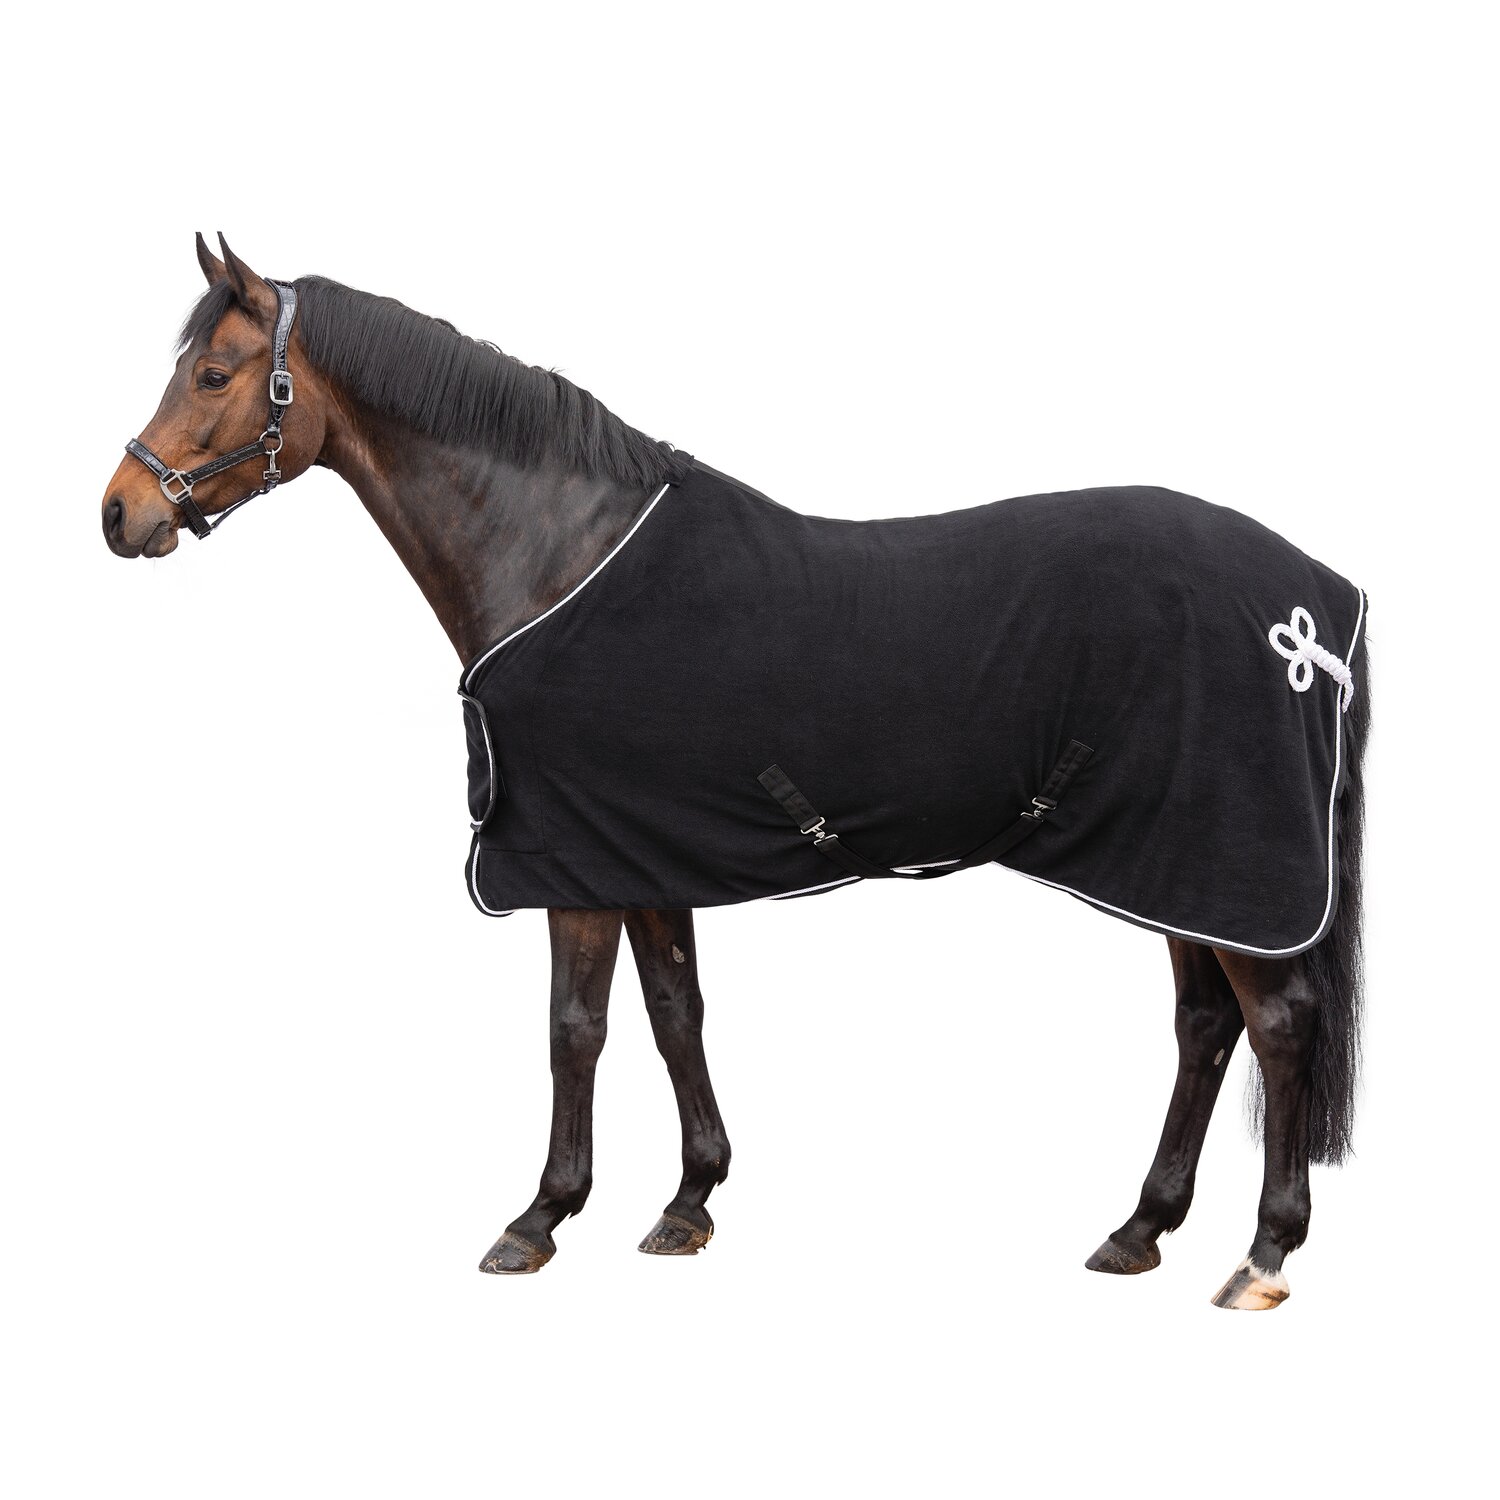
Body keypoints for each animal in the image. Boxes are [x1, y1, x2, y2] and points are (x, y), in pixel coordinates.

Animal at [101, 235, 1370, 1310]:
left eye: (213, 372)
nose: (118, 514)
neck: (557, 551)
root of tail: (1313, 608)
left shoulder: (571, 861)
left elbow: (575, 1028)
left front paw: (539, 1218)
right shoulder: (641, 848)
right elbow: (675, 1013)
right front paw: (688, 1202)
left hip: (1218, 858)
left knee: (1279, 1025)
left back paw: (1262, 1255)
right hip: (1170, 863)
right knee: (1205, 1026)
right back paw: (1140, 1229)